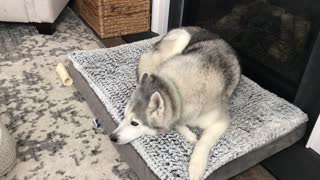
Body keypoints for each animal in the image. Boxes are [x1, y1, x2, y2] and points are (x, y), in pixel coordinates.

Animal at [109, 27, 240, 180]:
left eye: (134, 123)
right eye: (124, 116)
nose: (112, 137)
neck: (173, 89)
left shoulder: (220, 121)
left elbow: (203, 142)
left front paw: (196, 167)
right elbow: (176, 124)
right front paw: (189, 134)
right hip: (181, 39)